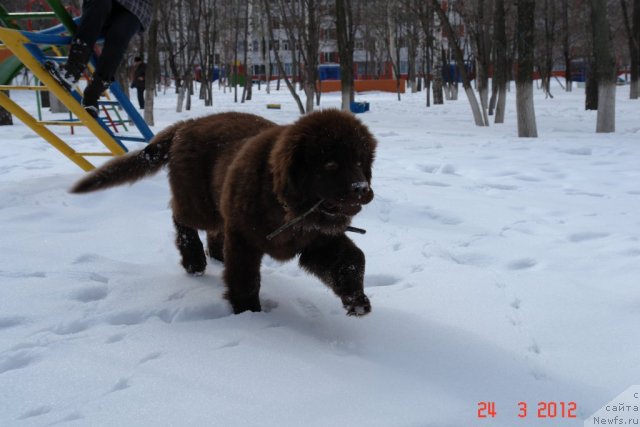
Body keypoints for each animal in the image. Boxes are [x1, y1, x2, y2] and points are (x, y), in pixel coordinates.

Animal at [72, 109, 378, 318]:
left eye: (359, 161)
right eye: (330, 164)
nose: (362, 189)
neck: (286, 207)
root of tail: (187, 124)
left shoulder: (317, 239)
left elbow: (353, 259)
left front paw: (357, 300)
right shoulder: (245, 238)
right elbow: (245, 278)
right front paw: (249, 313)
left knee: (214, 229)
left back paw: (217, 255)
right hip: (199, 203)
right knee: (180, 217)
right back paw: (194, 259)